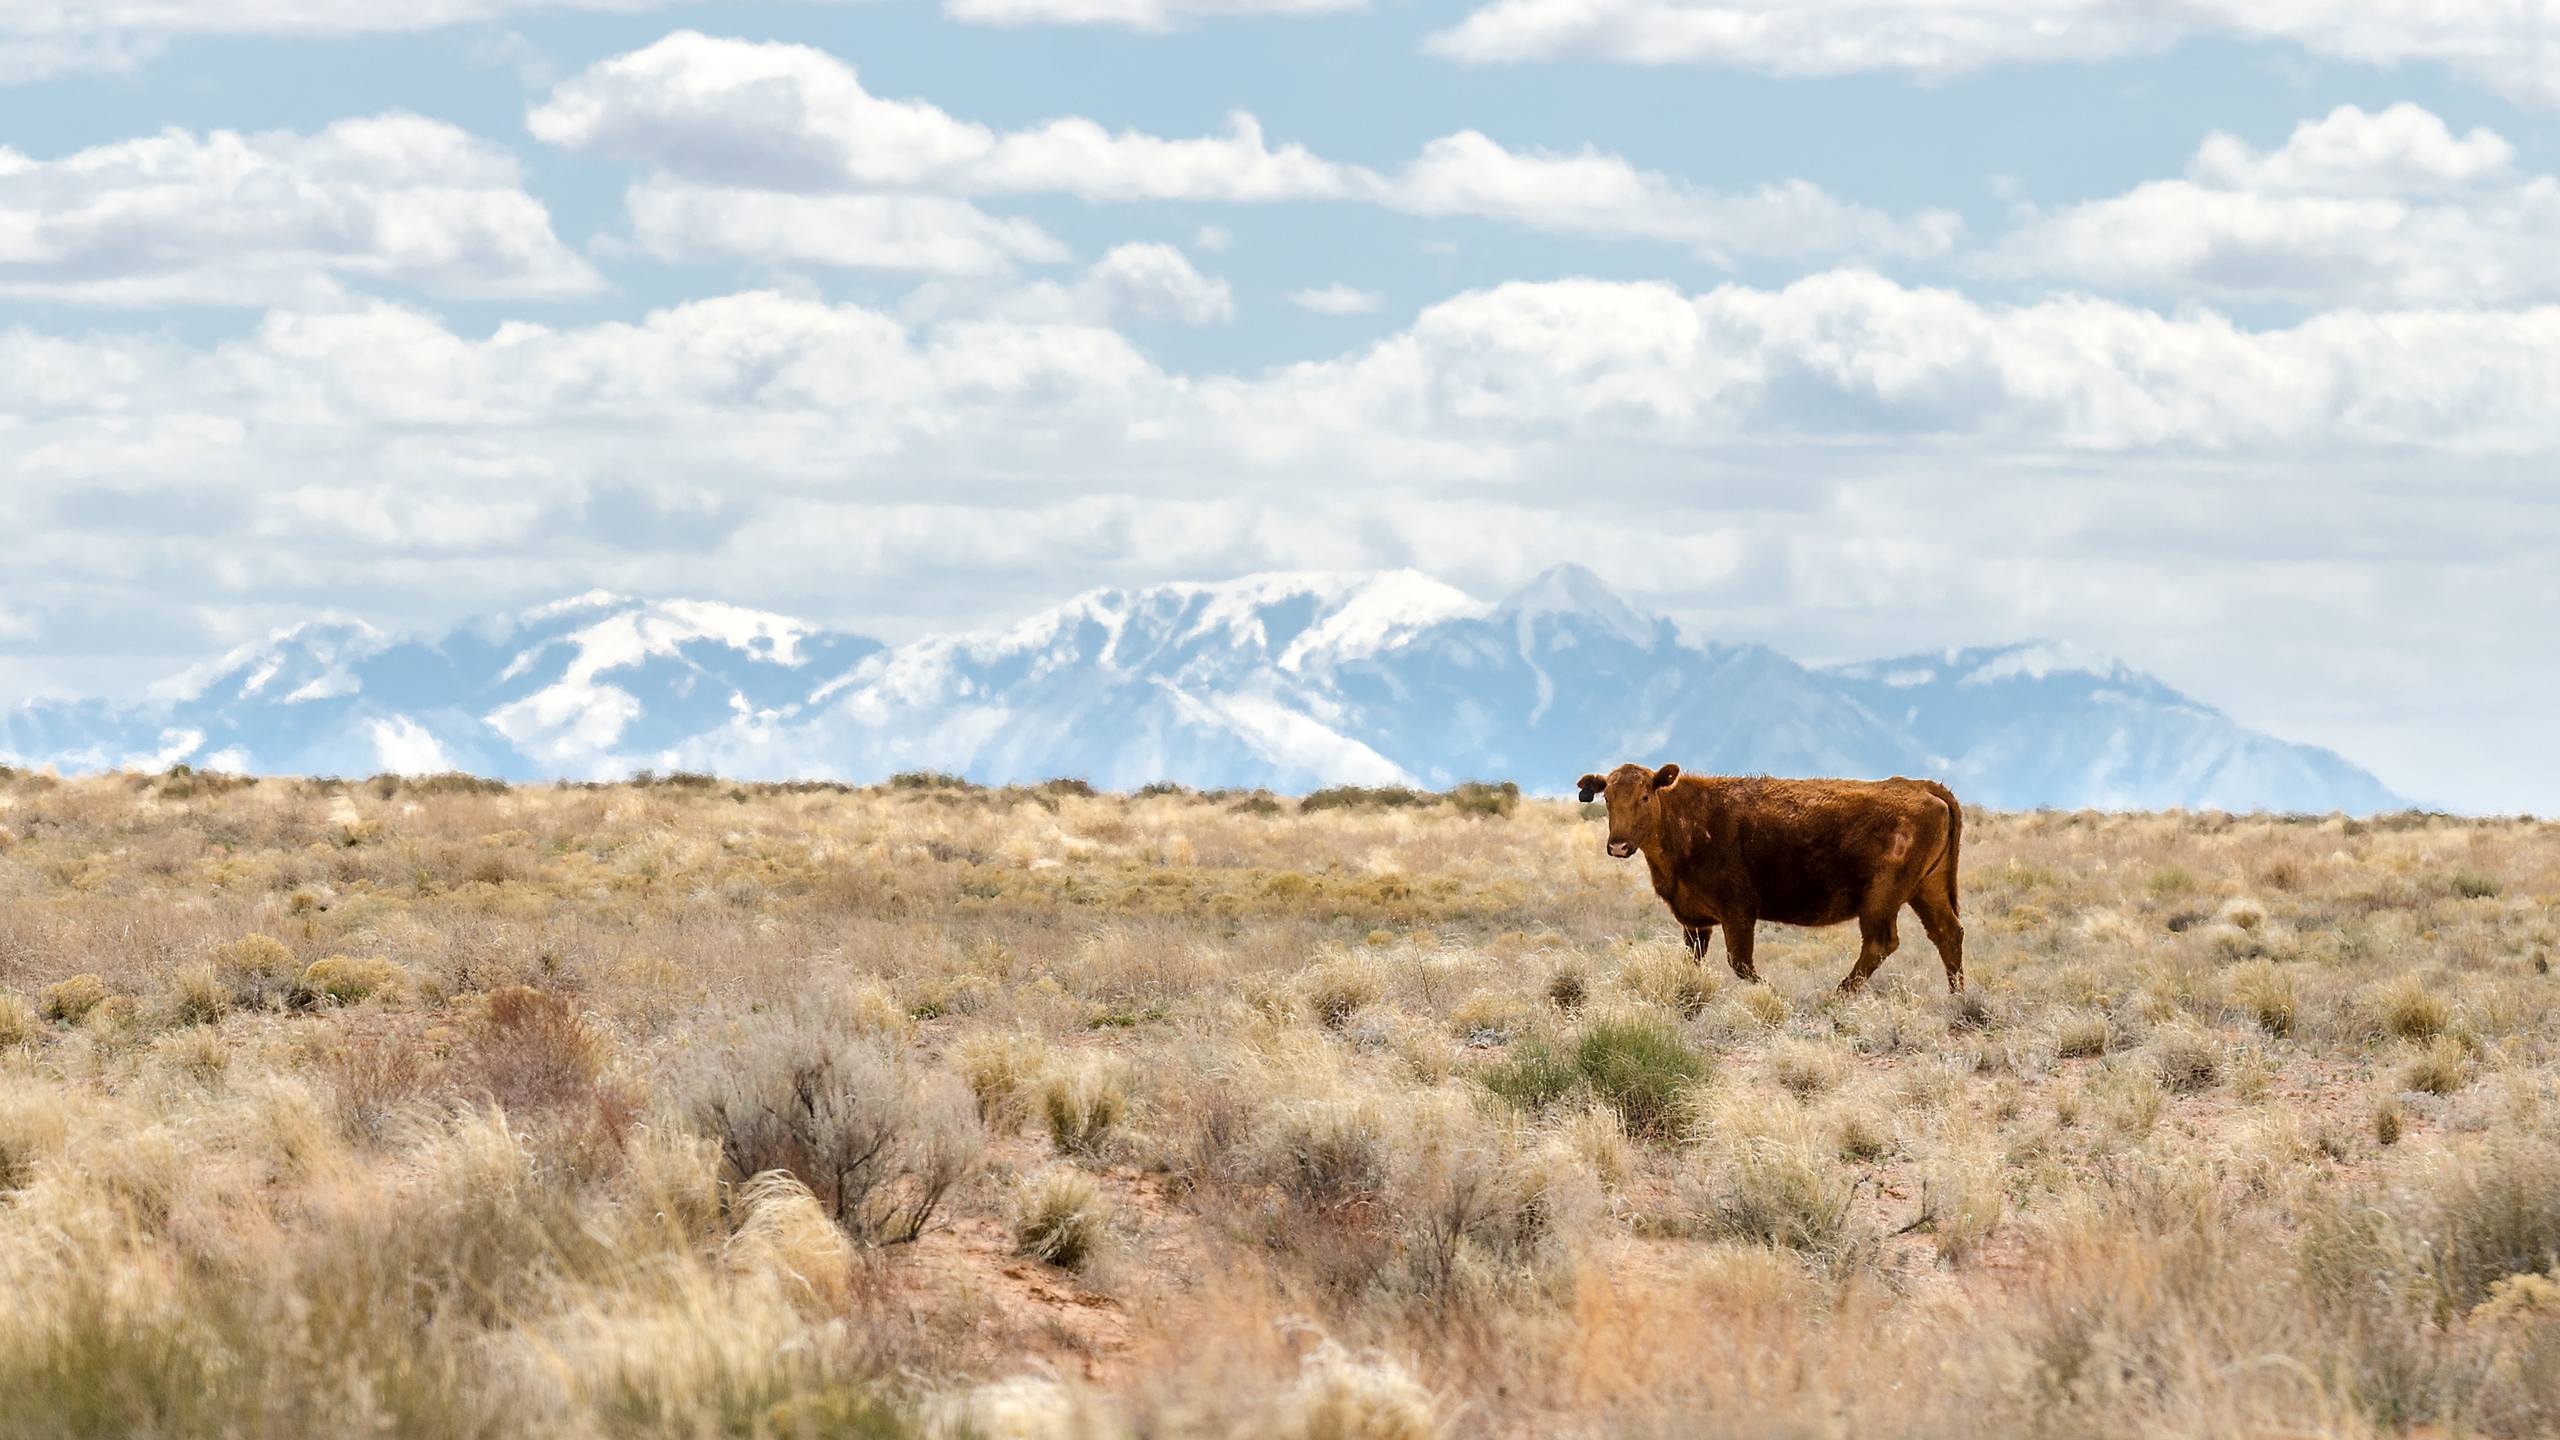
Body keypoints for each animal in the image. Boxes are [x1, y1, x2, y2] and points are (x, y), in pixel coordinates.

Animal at [1566, 763, 1966, 983]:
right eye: (1607, 798)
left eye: (1645, 797)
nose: (1618, 845)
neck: (1687, 816)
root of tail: (1921, 786)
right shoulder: (1695, 922)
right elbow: (1695, 962)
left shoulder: (1738, 913)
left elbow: (1741, 964)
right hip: (1926, 890)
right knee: (1947, 934)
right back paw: (1956, 998)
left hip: (1882, 897)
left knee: (1881, 942)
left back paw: (1835, 997)